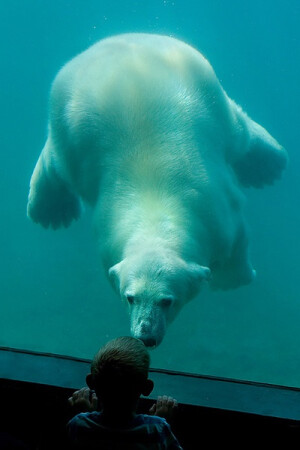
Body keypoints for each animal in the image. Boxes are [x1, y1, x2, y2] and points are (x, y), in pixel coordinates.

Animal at [27, 33, 288, 346]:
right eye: (130, 297)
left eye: (167, 300)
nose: (145, 335)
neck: (156, 205)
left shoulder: (219, 209)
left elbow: (237, 241)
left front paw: (232, 280)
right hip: (69, 124)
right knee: (56, 159)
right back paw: (51, 212)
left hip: (209, 94)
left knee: (238, 131)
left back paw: (268, 166)